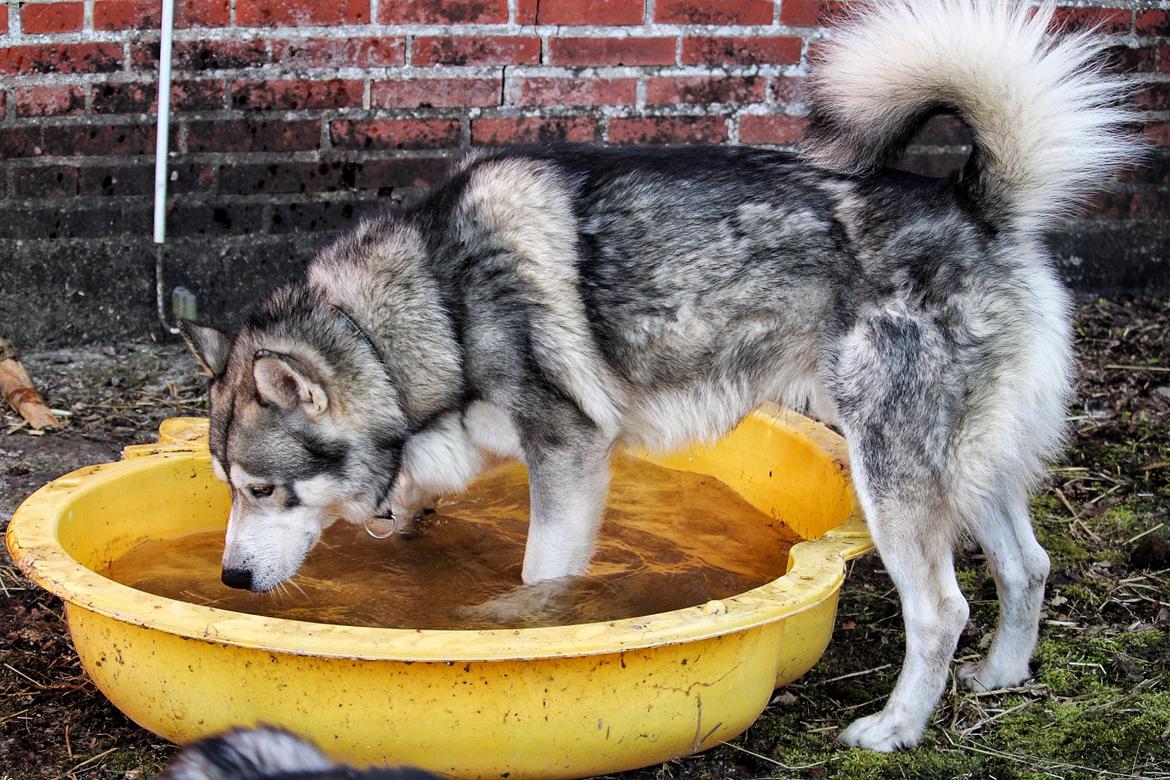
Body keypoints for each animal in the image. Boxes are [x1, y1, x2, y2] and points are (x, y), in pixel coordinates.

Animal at [180, 1, 1132, 757]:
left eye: (262, 490)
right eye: (226, 488)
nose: (229, 583)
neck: (433, 308)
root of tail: (976, 205)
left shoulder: (569, 455)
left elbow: (543, 580)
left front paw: (524, 631)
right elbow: (411, 504)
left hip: (891, 473)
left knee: (940, 609)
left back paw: (895, 729)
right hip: (970, 468)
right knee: (1028, 564)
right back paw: (1002, 676)